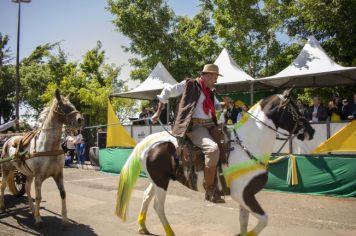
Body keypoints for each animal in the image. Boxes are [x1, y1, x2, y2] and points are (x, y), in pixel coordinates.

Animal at [0, 89, 83, 226]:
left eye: (72, 104)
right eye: (63, 106)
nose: (80, 120)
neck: (48, 146)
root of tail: (8, 140)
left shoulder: (58, 174)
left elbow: (63, 194)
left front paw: (65, 219)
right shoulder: (39, 177)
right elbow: (39, 197)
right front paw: (38, 218)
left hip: (27, 173)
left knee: (27, 188)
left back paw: (32, 209)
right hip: (6, 169)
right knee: (3, 186)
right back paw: (3, 207)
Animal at [114, 89, 314, 236]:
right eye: (295, 109)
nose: (311, 131)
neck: (248, 144)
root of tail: (150, 141)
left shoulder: (245, 196)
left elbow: (244, 221)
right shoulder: (243, 195)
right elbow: (264, 219)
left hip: (157, 180)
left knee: (146, 197)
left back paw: (143, 227)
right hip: (161, 182)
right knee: (158, 206)